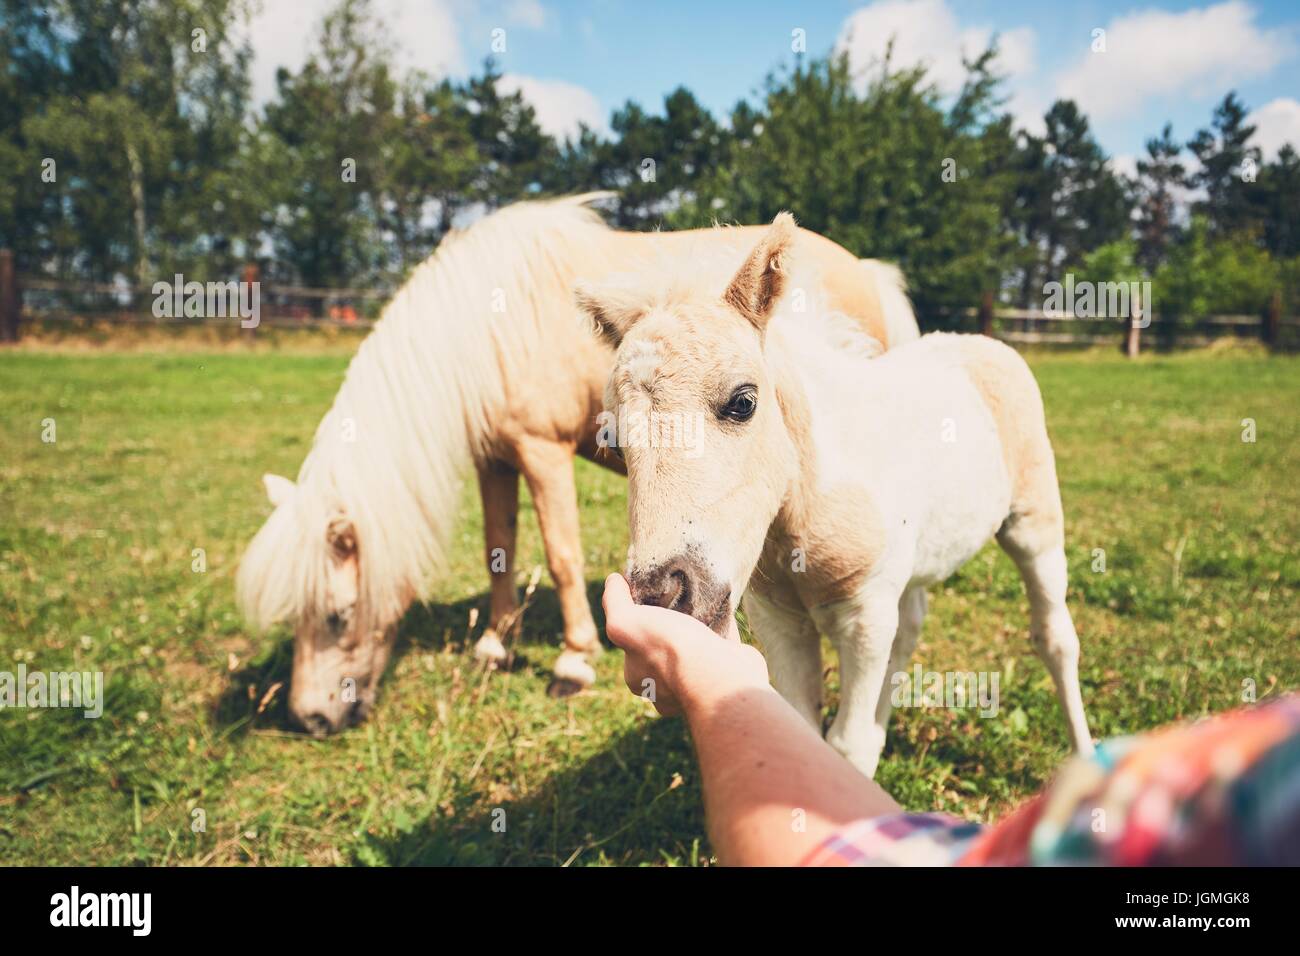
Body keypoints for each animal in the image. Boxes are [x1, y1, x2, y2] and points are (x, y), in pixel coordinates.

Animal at [239, 192, 920, 733]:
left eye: (337, 616)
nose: (309, 718)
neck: (488, 328)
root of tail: (866, 270)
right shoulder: (495, 457)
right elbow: (499, 546)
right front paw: (496, 645)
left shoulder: (541, 450)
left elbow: (561, 553)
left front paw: (573, 661)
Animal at [574, 210, 1092, 780]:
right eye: (613, 439)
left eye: (742, 402)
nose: (664, 596)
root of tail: (983, 344)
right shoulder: (779, 621)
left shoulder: (865, 613)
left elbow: (848, 744)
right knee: (911, 629)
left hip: (1033, 523)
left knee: (1055, 637)